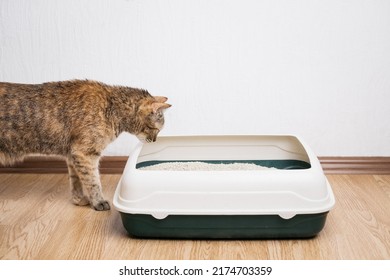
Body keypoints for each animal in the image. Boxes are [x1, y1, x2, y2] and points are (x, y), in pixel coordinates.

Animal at [0, 79, 171, 210]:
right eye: (156, 129)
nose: (154, 140)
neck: (111, 107)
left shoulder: (72, 155)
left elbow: (76, 180)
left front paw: (79, 200)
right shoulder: (85, 153)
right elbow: (93, 181)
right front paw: (98, 201)